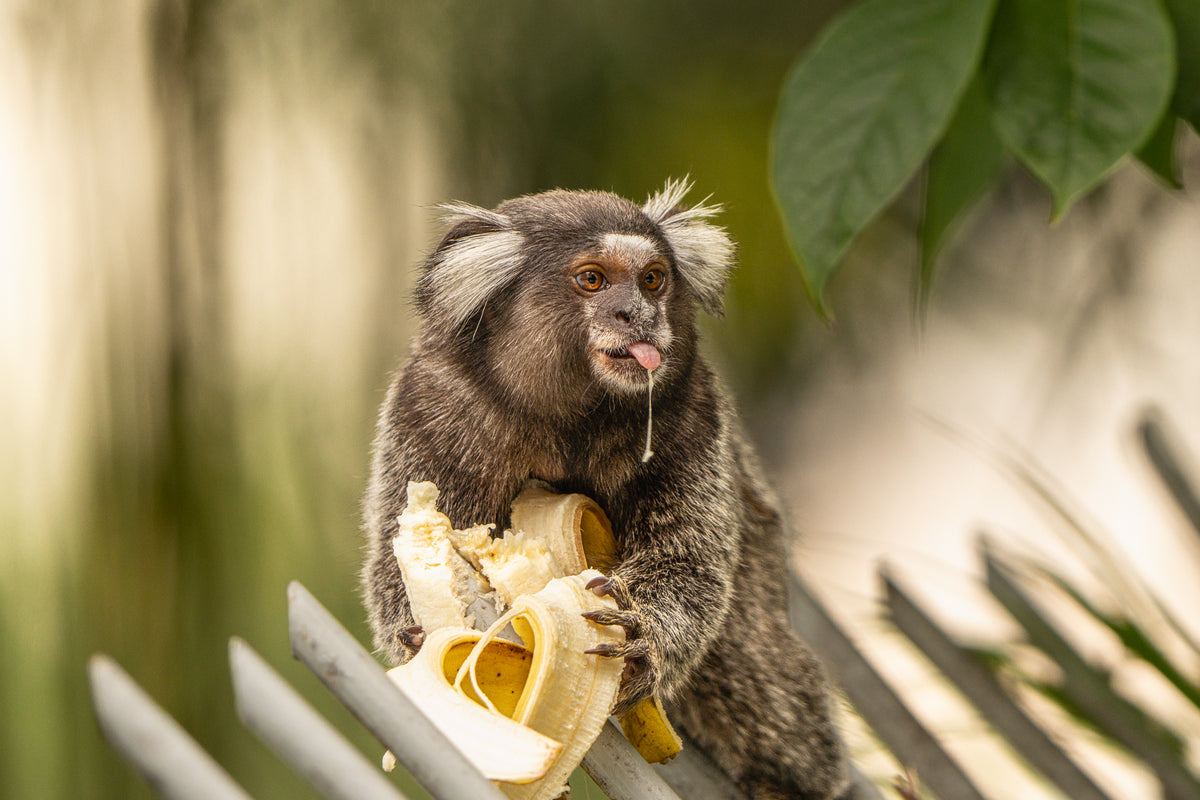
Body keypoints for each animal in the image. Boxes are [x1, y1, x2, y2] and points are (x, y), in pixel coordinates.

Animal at [361, 179, 850, 799]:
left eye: (652, 280)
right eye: (592, 279)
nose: (636, 313)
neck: (568, 417)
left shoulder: (693, 411)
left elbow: (689, 563)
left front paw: (643, 640)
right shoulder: (430, 407)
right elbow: (397, 554)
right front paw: (420, 634)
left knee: (760, 675)